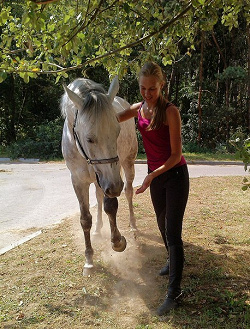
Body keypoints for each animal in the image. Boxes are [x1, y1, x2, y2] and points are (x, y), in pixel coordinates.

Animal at [61, 76, 138, 274]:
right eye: (89, 139)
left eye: (117, 132)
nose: (115, 186)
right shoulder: (78, 181)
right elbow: (85, 219)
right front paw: (89, 259)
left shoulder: (110, 179)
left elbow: (110, 206)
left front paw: (117, 242)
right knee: (97, 196)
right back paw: (97, 229)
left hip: (127, 164)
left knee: (128, 193)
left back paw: (134, 227)